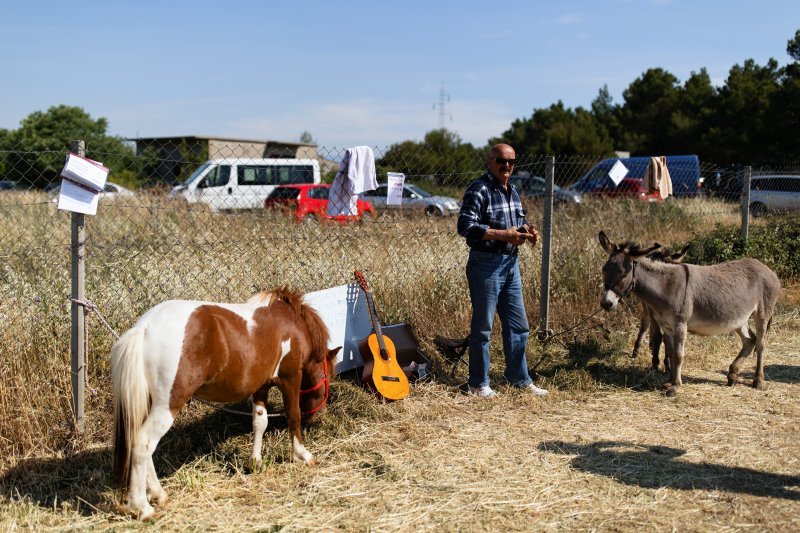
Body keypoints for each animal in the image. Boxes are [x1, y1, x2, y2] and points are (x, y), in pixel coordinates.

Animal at [110, 286, 340, 520]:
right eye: (328, 376)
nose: (315, 416)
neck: (290, 323)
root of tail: (144, 328)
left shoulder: (261, 385)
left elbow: (260, 423)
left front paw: (255, 462)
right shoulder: (290, 378)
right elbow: (293, 417)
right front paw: (303, 455)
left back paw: (158, 494)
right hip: (167, 405)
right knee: (143, 444)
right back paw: (141, 507)